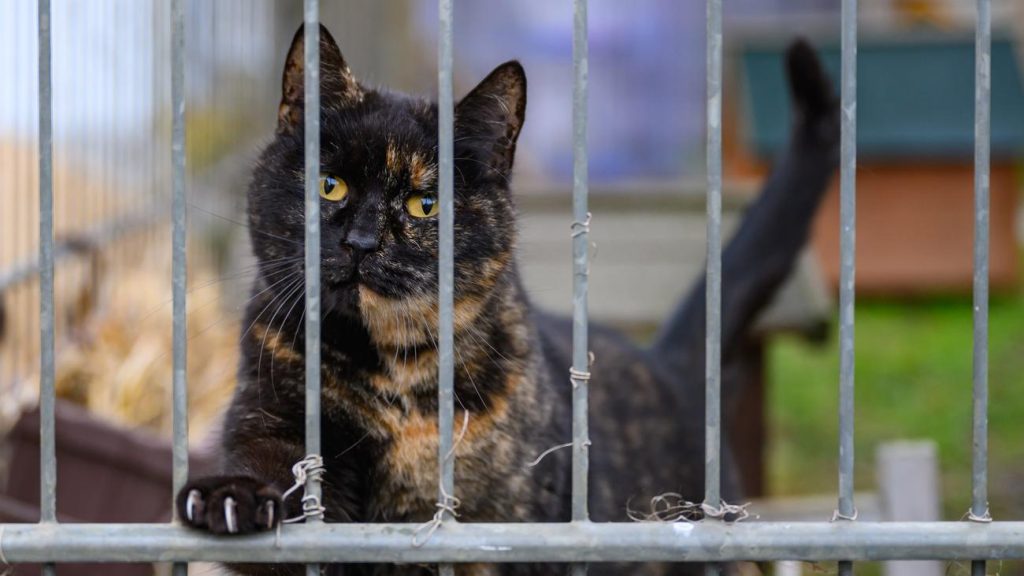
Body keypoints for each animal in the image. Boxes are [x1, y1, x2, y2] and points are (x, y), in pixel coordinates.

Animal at [178, 23, 839, 573]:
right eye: (330, 185)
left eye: (425, 203)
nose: (361, 242)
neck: (394, 377)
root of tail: (667, 364)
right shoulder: (272, 414)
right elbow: (270, 472)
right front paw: (228, 496)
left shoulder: (510, 527)